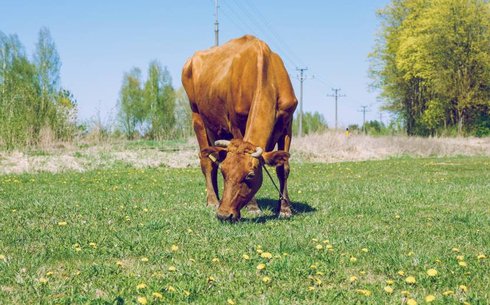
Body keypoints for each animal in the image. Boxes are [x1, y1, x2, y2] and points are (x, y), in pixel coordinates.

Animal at [182, 35, 296, 221]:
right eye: (225, 172)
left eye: (250, 175)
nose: (223, 214)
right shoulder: (236, 123)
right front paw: (253, 207)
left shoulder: (288, 124)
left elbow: (283, 167)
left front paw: (285, 208)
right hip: (197, 116)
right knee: (206, 161)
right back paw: (212, 201)